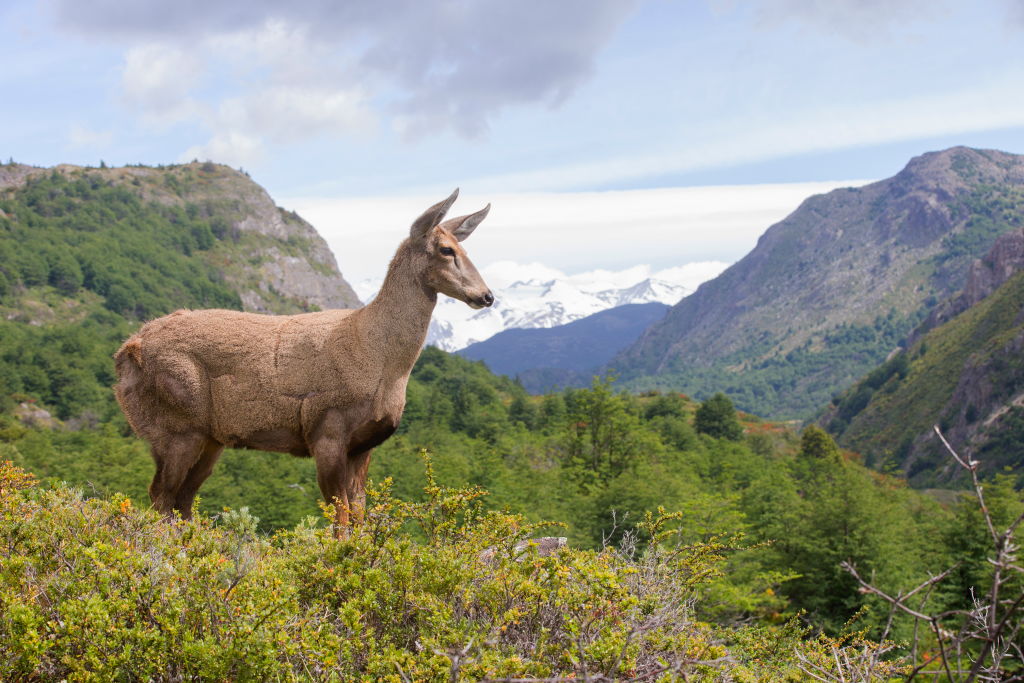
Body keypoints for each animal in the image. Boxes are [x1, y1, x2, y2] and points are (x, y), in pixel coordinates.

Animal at [116, 191, 491, 532]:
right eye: (446, 250)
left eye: (465, 248)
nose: (486, 296)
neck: (377, 358)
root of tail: (126, 353)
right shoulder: (325, 427)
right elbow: (340, 517)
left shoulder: (364, 444)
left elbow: (359, 514)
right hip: (175, 421)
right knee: (160, 495)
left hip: (210, 437)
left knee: (182, 500)